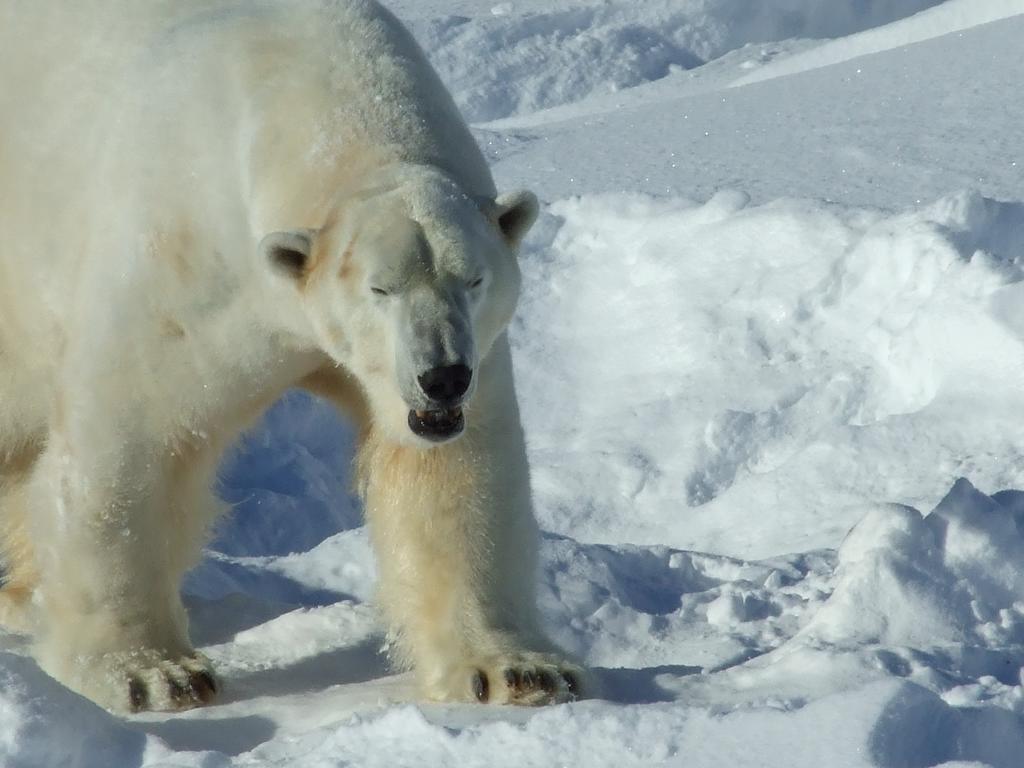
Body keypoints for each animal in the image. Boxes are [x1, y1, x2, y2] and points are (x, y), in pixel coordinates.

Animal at [0, 0, 581, 712]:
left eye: (473, 279)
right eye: (380, 287)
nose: (443, 378)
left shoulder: (470, 352)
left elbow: (457, 467)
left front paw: (515, 669)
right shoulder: (186, 270)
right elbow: (131, 442)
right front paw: (152, 674)